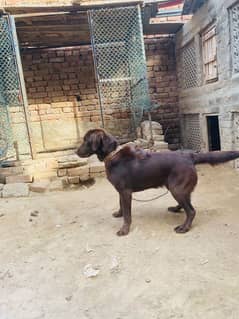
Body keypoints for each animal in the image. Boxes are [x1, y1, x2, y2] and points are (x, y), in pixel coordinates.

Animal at [76, 129, 239, 236]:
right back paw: (176, 209)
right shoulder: (120, 191)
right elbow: (121, 206)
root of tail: (190, 155)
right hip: (177, 187)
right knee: (187, 203)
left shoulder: (125, 192)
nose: (76, 152)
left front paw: (124, 229)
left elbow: (128, 214)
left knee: (191, 211)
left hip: (176, 188)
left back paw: (184, 228)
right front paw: (119, 214)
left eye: (86, 140)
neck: (112, 154)